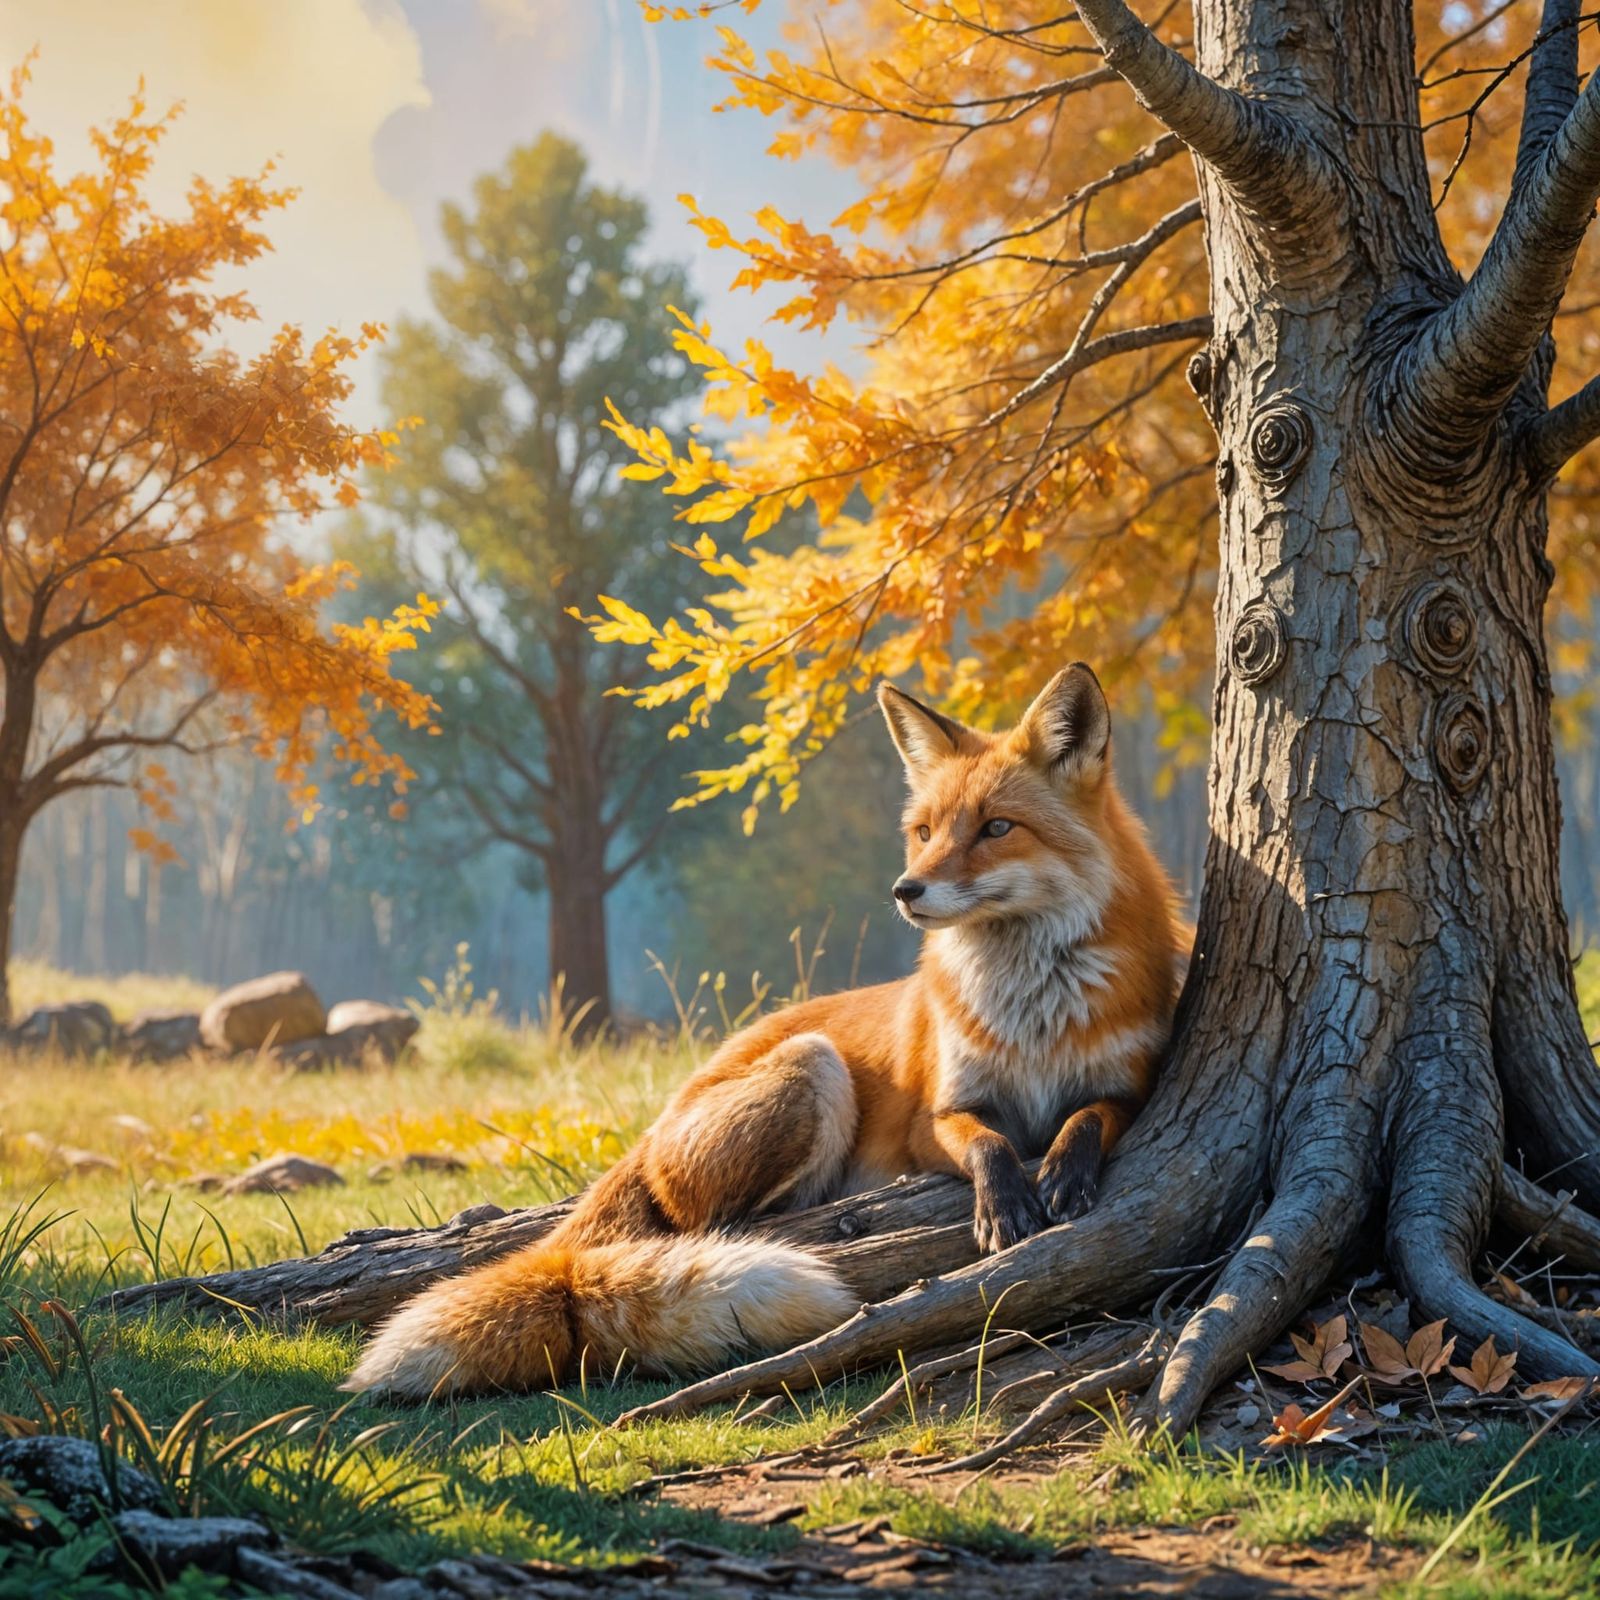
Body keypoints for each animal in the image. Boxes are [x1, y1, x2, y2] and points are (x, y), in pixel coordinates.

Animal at [344, 663, 1184, 1400]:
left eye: (996, 828)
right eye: (924, 832)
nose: (905, 890)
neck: (1032, 1012)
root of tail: (651, 1128)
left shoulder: (1133, 1081)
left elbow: (1087, 1117)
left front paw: (1066, 1170)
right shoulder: (935, 1116)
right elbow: (991, 1144)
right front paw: (1005, 1203)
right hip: (814, 1068)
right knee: (715, 1228)